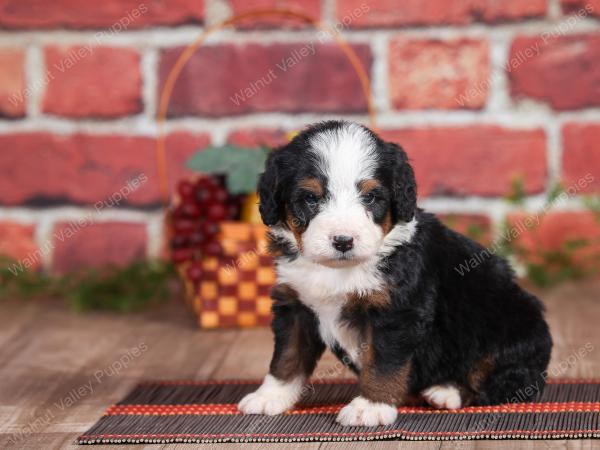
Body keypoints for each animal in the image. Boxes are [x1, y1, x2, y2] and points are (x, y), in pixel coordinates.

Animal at [236, 118, 552, 426]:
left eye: (370, 197)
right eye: (311, 199)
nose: (343, 241)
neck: (339, 270)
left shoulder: (396, 312)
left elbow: (383, 364)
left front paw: (370, 407)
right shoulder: (296, 305)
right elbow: (287, 356)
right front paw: (270, 396)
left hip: (508, 328)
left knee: (500, 381)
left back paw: (447, 391)